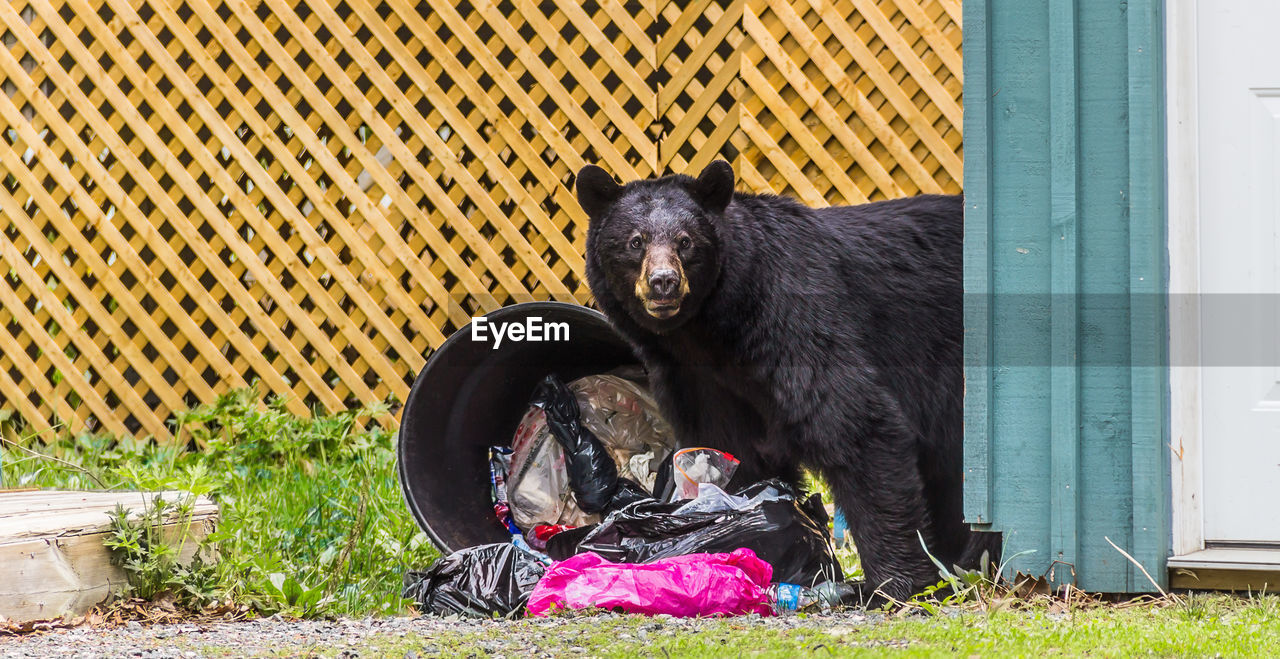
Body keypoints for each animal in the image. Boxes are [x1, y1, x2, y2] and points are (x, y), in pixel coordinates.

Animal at [578, 161, 998, 603]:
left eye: (685, 241)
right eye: (635, 241)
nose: (663, 282)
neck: (712, 333)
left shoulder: (796, 322)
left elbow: (854, 422)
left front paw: (898, 582)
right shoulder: (699, 380)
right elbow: (730, 446)